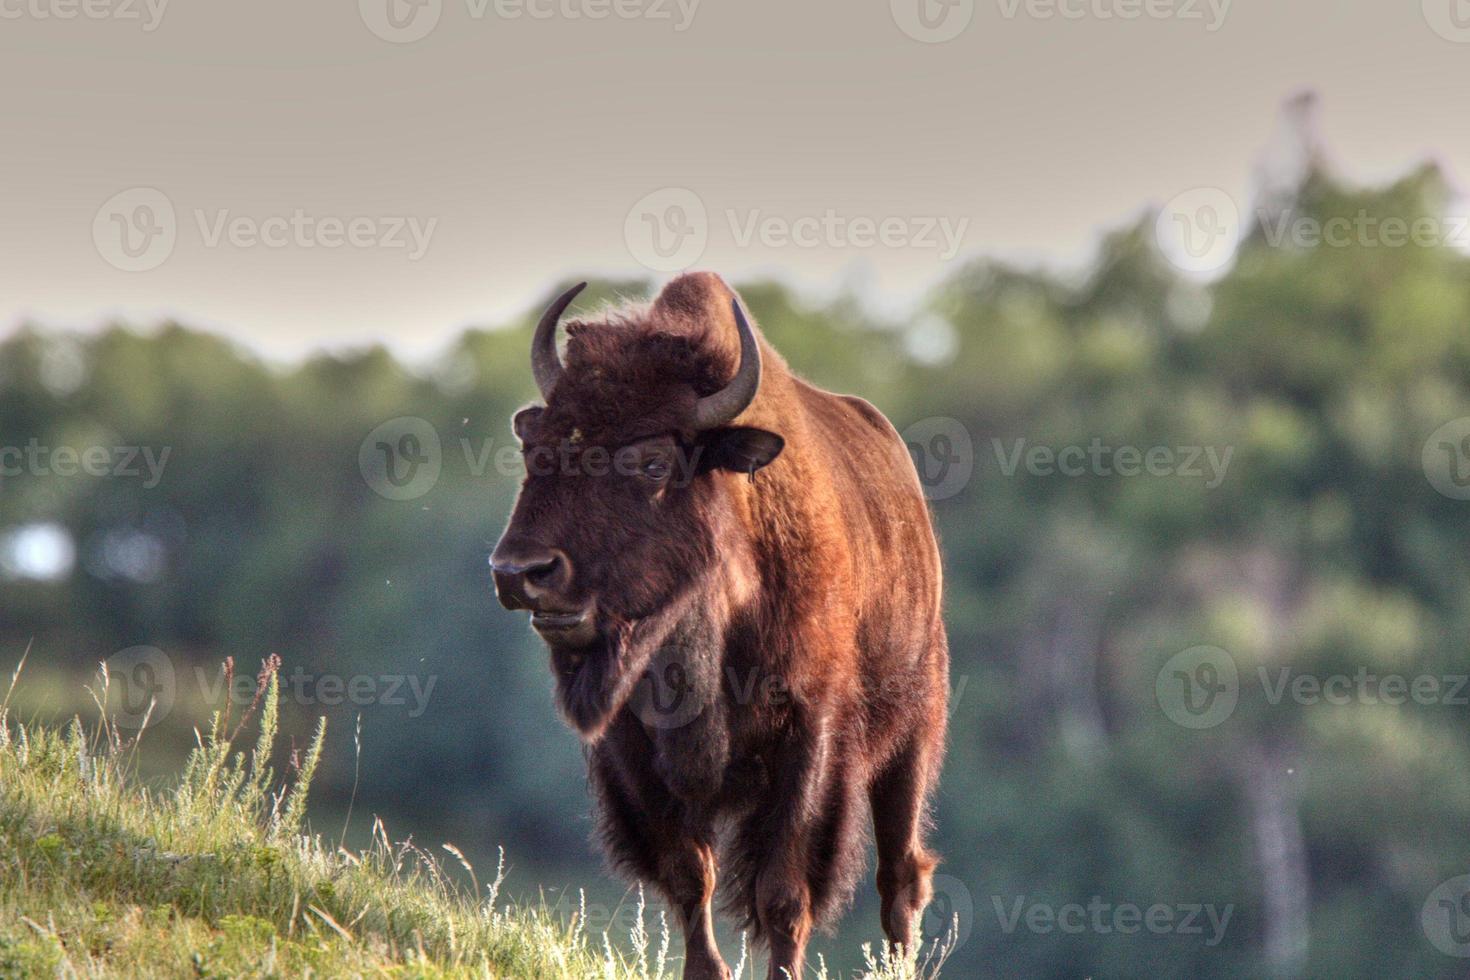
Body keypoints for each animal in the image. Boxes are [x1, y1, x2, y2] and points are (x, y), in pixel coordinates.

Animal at [490, 271, 952, 975]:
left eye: (652, 462)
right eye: (534, 448)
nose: (519, 571)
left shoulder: (809, 739)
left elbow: (783, 893)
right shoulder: (634, 749)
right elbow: (689, 874)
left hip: (913, 732)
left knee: (900, 877)